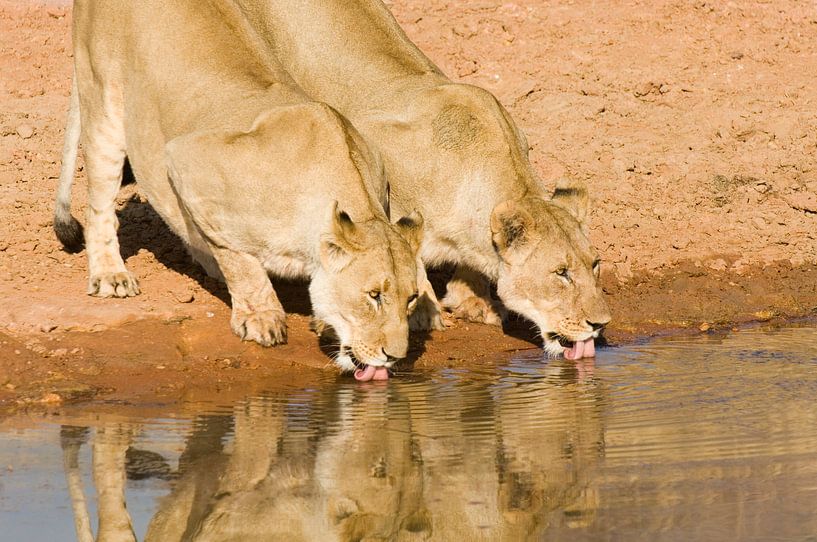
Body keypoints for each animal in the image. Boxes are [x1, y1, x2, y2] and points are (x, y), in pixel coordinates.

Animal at [53, 0, 423, 375]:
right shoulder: (186, 158)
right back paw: (111, 276)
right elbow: (237, 257)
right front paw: (262, 317)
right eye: (373, 295)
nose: (394, 355)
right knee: (100, 206)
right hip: (104, 102)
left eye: (411, 298)